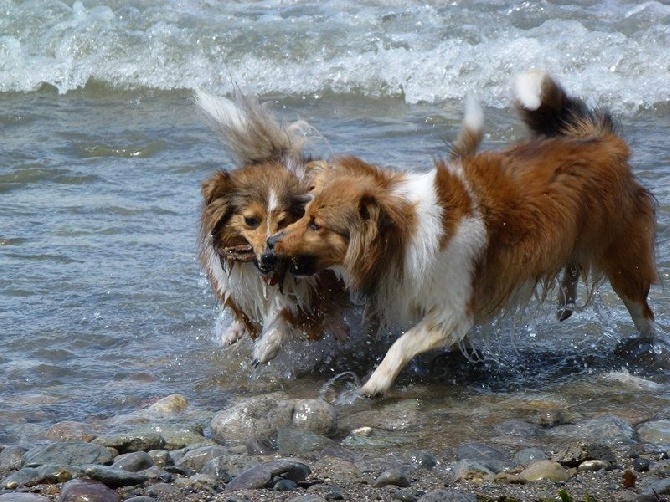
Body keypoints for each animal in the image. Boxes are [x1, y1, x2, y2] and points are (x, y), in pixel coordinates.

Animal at [197, 91, 350, 364]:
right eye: (251, 220)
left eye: (284, 221)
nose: (269, 257)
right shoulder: (235, 286)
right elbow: (247, 314)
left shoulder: (307, 290)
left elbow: (289, 315)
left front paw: (267, 347)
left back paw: (338, 327)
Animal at [266, 73, 660, 396]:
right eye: (305, 214)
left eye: (316, 224)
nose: (270, 245)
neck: (403, 230)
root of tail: (604, 142)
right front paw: (271, 341)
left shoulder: (453, 309)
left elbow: (402, 343)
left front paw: (375, 382)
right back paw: (567, 299)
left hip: (625, 262)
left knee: (643, 311)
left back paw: (647, 346)